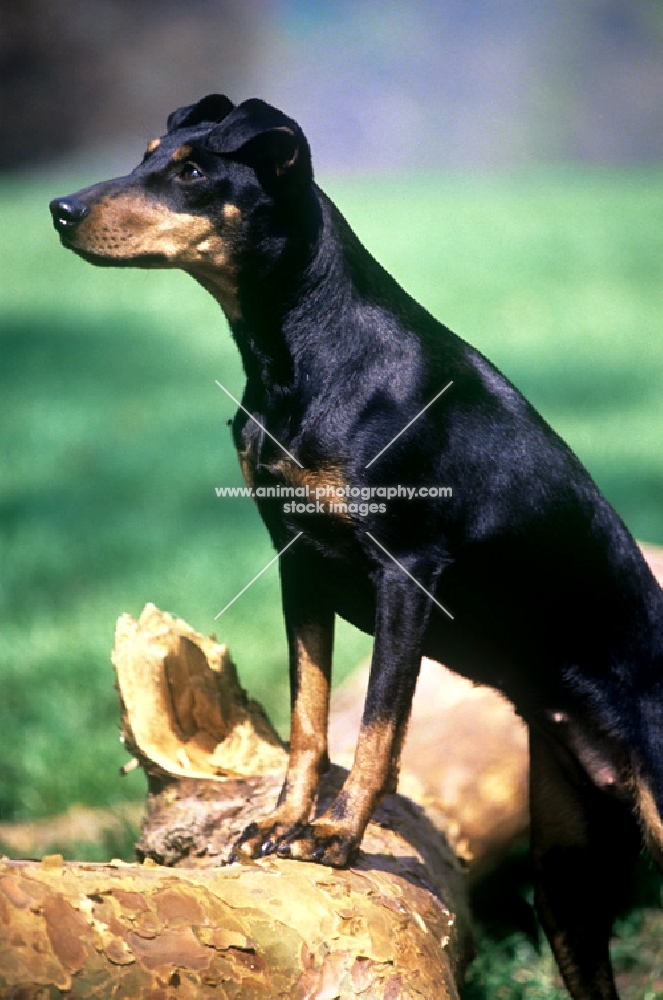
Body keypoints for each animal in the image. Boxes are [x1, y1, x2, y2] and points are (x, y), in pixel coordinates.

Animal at [50, 95, 663, 1000]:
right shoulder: (297, 565)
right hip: (566, 873)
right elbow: (310, 721)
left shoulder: (405, 573)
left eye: (193, 171)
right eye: (149, 154)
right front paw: (279, 823)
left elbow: (377, 726)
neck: (302, 352)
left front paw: (334, 841)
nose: (60, 210)